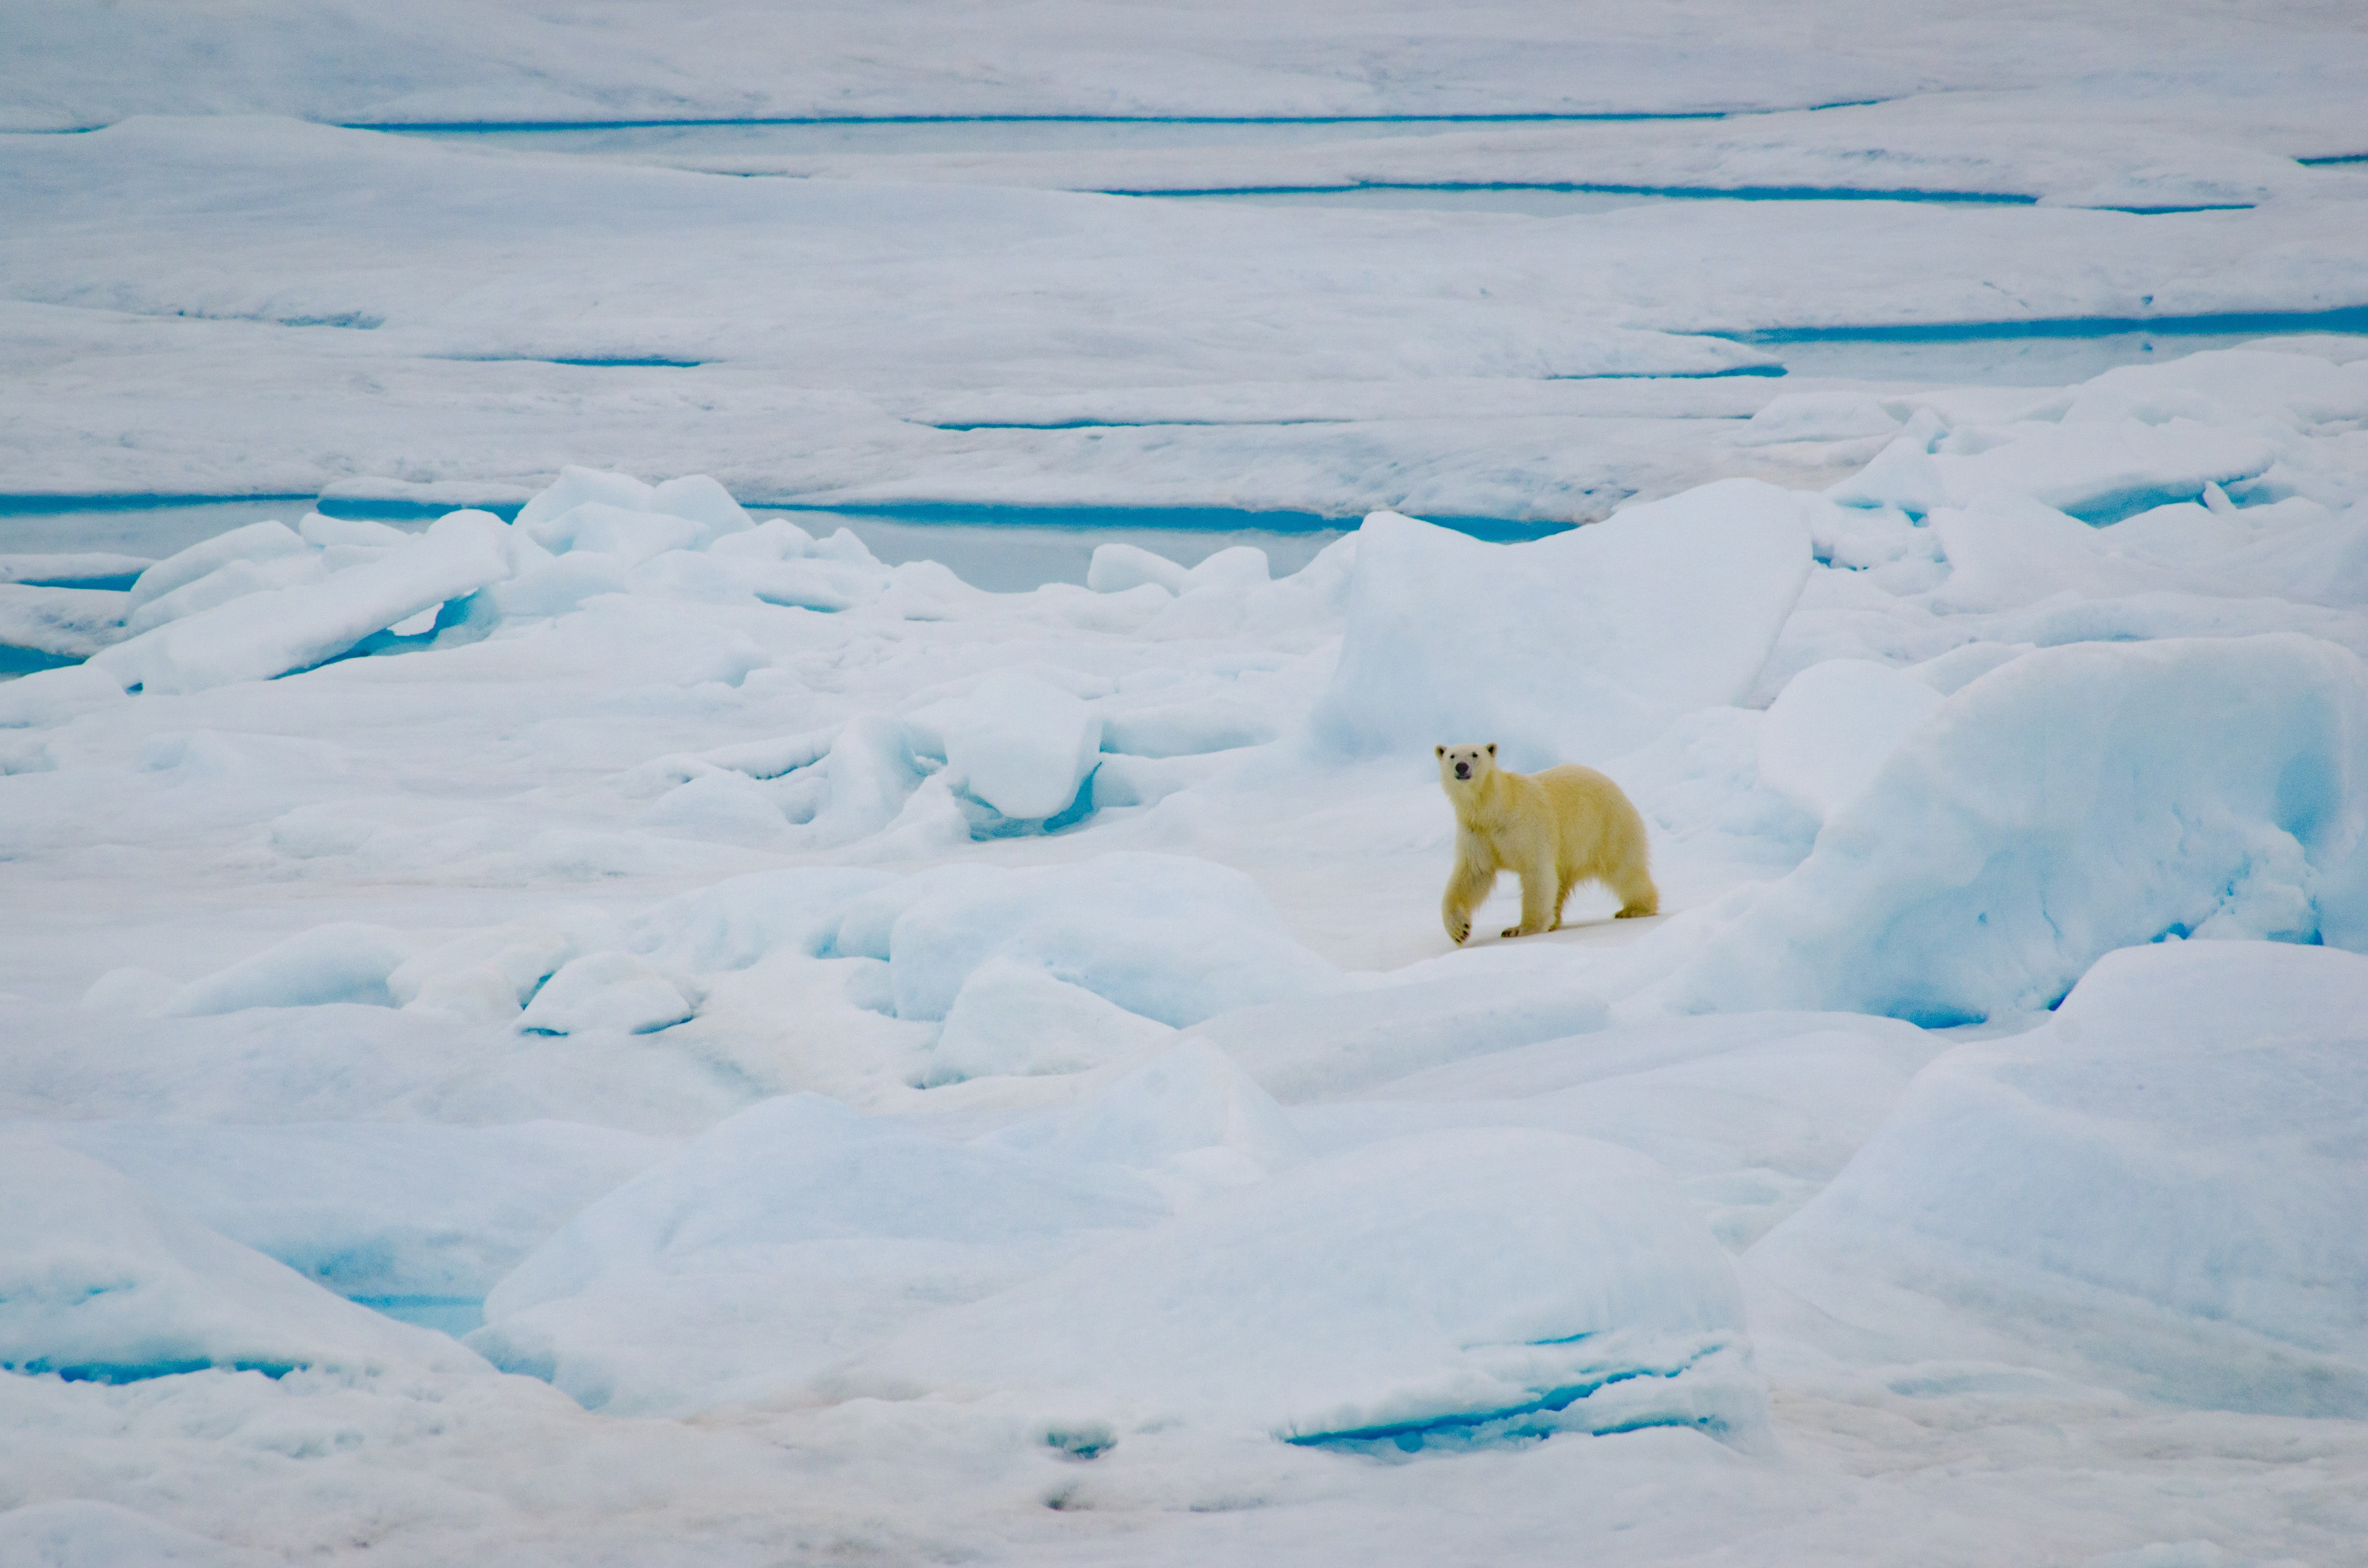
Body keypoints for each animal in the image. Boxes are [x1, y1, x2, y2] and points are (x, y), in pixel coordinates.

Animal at [1430, 739, 1657, 947]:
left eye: (1475, 754)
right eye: (1452, 756)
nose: (1462, 767)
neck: (1495, 808)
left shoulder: (1525, 825)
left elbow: (1536, 871)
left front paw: (1520, 929)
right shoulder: (1477, 832)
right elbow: (1473, 875)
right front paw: (1459, 930)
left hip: (1605, 827)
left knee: (1624, 869)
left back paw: (1636, 909)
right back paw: (1555, 922)